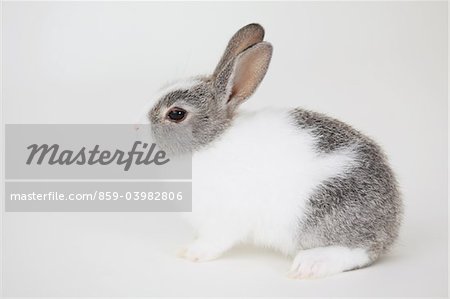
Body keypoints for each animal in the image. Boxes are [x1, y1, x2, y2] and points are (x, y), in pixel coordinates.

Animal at [145, 24, 404, 282]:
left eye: (176, 114)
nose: (138, 130)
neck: (209, 142)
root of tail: (393, 219)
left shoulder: (225, 219)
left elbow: (214, 241)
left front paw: (190, 252)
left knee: (360, 251)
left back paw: (310, 264)